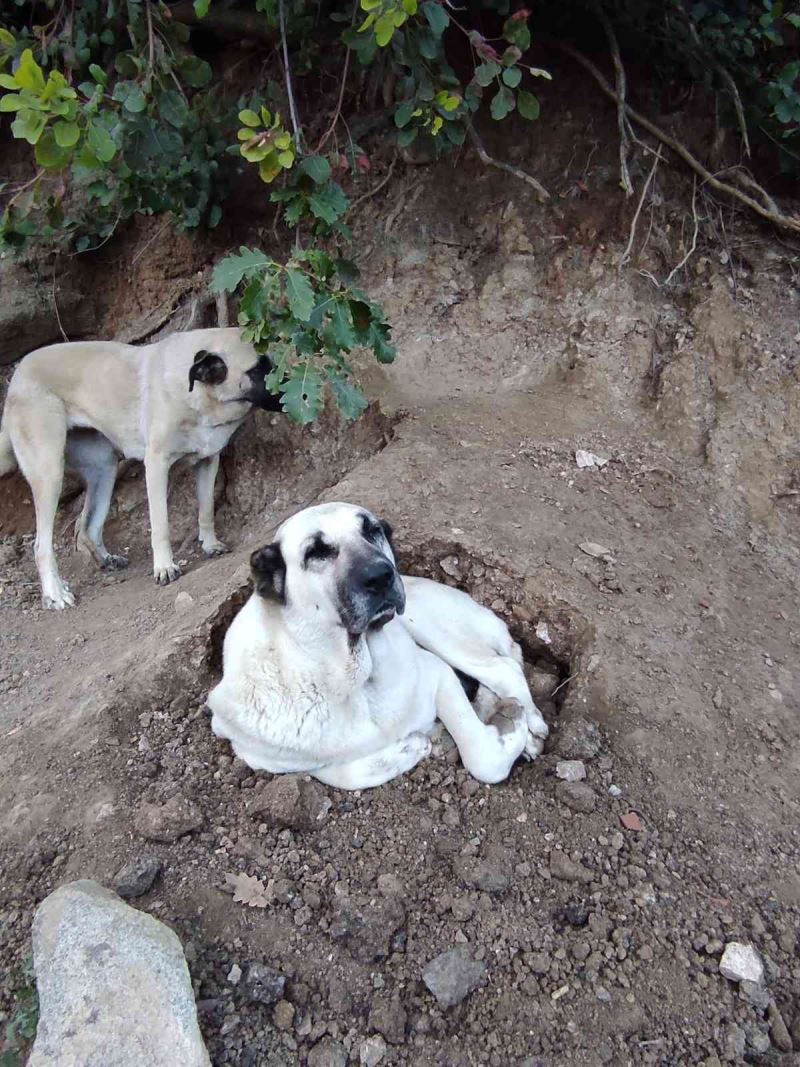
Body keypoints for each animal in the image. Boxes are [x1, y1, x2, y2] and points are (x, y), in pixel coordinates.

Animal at [0, 324, 281, 610]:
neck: (197, 394)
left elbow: (206, 510)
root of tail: (18, 376)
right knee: (41, 547)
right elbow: (160, 525)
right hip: (50, 474)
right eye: (257, 369)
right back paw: (55, 593)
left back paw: (106, 559)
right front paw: (165, 567)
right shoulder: (156, 465)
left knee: (88, 527)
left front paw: (210, 544)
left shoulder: (208, 461)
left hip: (105, 468)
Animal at [208, 503, 550, 789]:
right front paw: (413, 746)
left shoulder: (437, 673)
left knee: (502, 667)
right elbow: (338, 771)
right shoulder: (257, 753)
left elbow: (482, 759)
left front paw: (510, 725)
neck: (352, 680)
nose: (381, 575)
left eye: (372, 530)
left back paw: (529, 720)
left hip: (423, 624)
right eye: (316, 552)